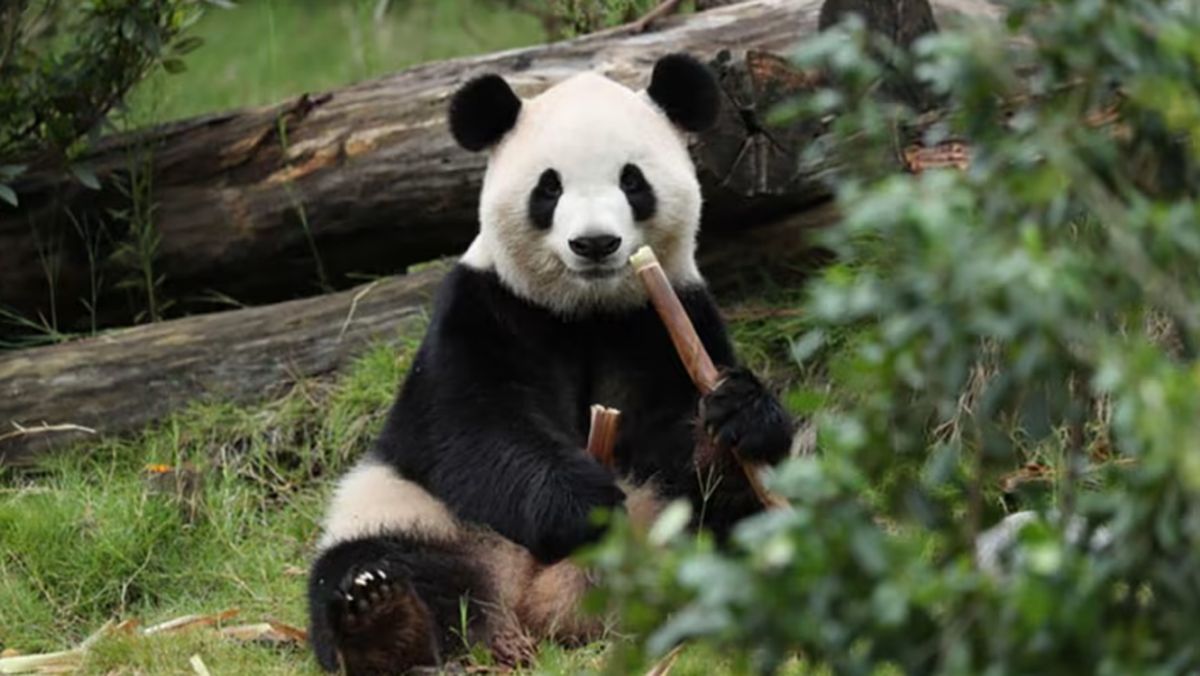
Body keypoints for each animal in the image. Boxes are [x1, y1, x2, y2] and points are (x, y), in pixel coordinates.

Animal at [307, 53, 796, 675]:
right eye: (549, 187)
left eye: (632, 181)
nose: (595, 244)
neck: (585, 310)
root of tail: (534, 605)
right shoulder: (482, 309)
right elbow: (473, 428)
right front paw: (582, 505)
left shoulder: (666, 317)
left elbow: (679, 439)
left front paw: (736, 416)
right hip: (412, 510)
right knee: (371, 562)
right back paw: (383, 619)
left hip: (669, 529)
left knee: (738, 531)